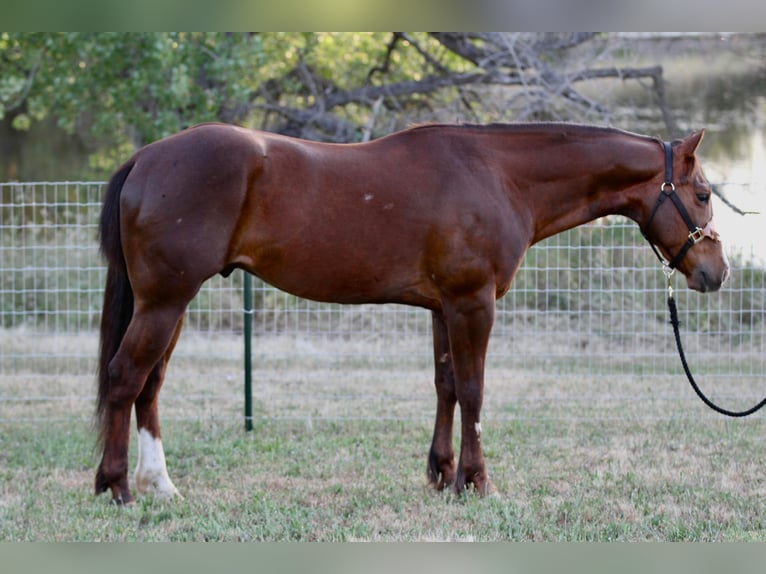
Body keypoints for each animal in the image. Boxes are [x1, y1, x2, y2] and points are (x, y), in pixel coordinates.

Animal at [94, 122, 729, 504]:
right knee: (126, 378)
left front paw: (442, 475)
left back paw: (160, 484)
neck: (500, 176)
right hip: (166, 301)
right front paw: (477, 481)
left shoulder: (442, 306)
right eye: (701, 194)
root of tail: (146, 158)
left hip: (170, 305)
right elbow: (473, 389)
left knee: (150, 386)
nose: (717, 273)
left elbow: (445, 385)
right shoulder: (473, 302)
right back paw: (118, 488)